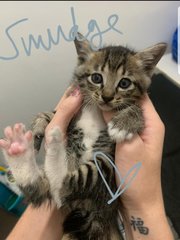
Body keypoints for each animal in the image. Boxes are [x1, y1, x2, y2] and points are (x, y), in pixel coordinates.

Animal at [0, 34, 167, 240]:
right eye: (96, 78)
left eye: (124, 83)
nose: (107, 97)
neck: (96, 110)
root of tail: (102, 215)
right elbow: (52, 114)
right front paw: (39, 127)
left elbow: (136, 110)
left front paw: (123, 123)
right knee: (46, 190)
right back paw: (19, 149)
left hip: (105, 168)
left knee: (65, 185)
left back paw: (28, 151)